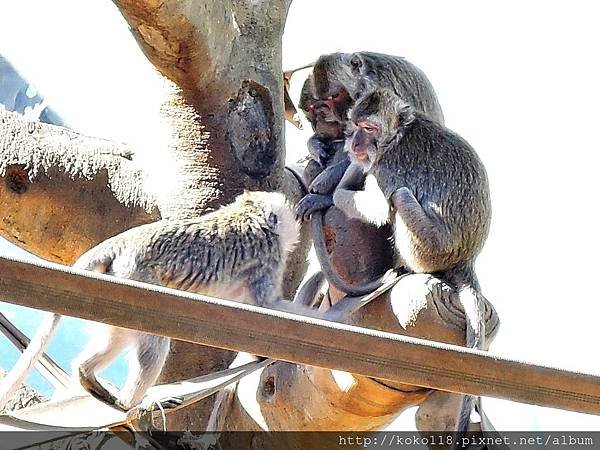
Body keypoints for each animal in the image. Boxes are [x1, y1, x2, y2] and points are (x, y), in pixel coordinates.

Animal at [302, 88, 490, 436]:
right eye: (355, 125)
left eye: (369, 128)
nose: (355, 144)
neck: (396, 136)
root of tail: (467, 257)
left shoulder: (387, 169)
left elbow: (376, 206)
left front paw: (327, 194)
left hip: (431, 247)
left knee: (400, 196)